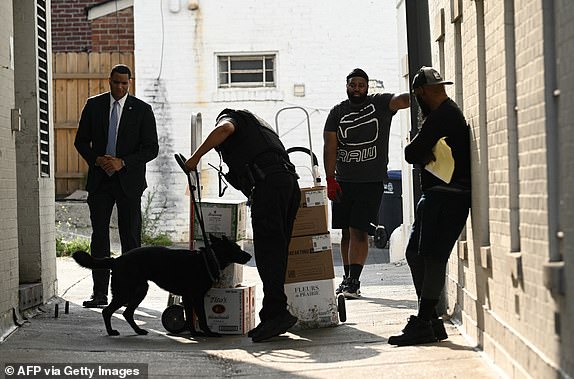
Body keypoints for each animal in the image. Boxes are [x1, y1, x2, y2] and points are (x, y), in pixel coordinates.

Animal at [72, 235, 252, 338]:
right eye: (236, 248)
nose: (250, 256)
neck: (208, 258)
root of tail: (116, 260)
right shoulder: (196, 296)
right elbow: (201, 317)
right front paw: (208, 333)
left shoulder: (188, 298)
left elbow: (190, 318)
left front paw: (194, 333)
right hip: (125, 292)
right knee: (107, 311)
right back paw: (111, 332)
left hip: (139, 291)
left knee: (127, 313)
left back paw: (138, 331)